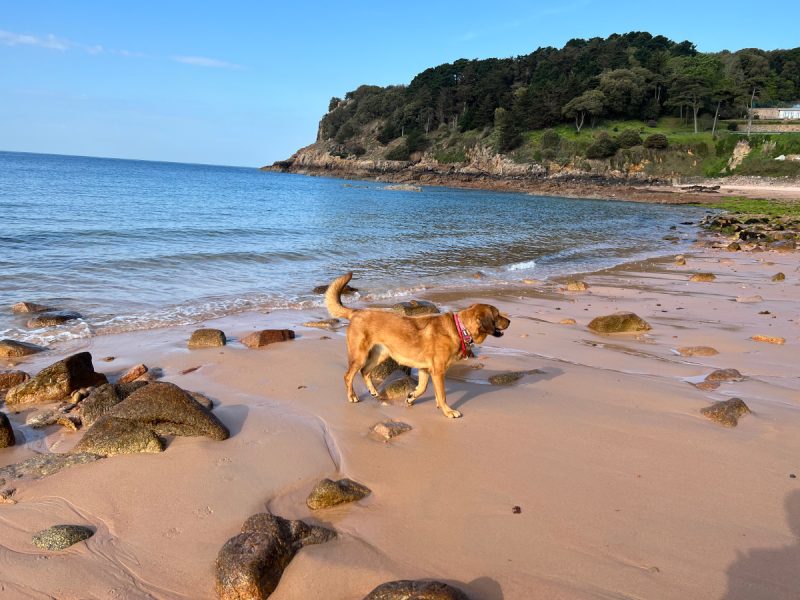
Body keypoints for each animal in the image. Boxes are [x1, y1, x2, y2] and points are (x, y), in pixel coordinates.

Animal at [324, 272, 512, 418]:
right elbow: (442, 394)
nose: (510, 321)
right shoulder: (437, 371)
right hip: (360, 355)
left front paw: (412, 397)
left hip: (380, 354)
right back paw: (352, 396)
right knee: (348, 375)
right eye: (497, 315)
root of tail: (356, 312)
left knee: (364, 371)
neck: (460, 328)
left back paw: (373, 391)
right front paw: (448, 411)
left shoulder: (425, 370)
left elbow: (422, 389)